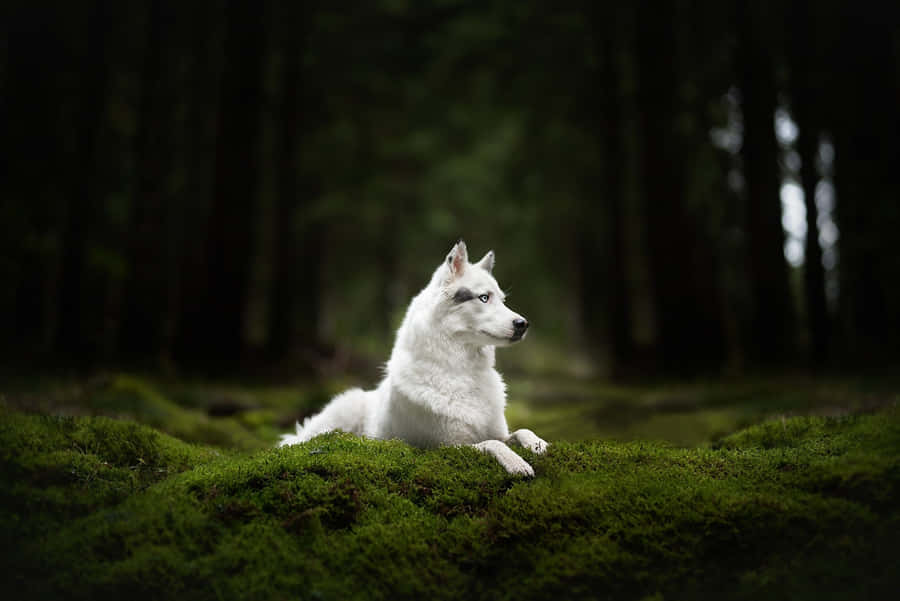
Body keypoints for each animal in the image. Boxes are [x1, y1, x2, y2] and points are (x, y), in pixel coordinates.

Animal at [279, 240, 548, 476]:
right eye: (484, 298)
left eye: (502, 300)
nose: (523, 324)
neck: (461, 371)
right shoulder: (449, 447)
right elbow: (494, 444)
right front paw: (516, 463)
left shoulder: (498, 431)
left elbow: (521, 431)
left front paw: (540, 445)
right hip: (342, 411)